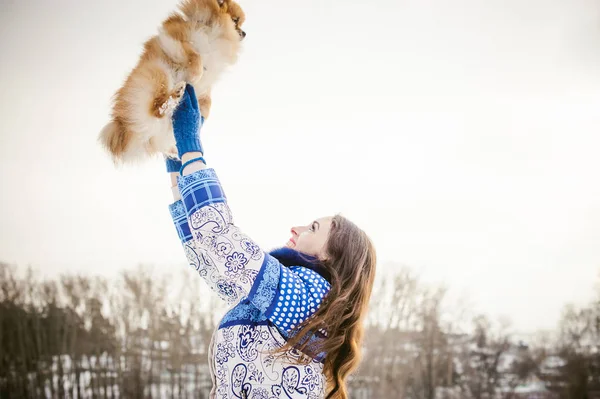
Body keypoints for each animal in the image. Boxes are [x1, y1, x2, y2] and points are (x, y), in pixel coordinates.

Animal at [99, 0, 245, 164]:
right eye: (235, 21)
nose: (244, 33)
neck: (211, 28)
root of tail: (122, 125)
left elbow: (206, 94)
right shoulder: (175, 40)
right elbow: (196, 58)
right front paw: (194, 76)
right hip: (159, 71)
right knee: (157, 108)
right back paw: (175, 94)